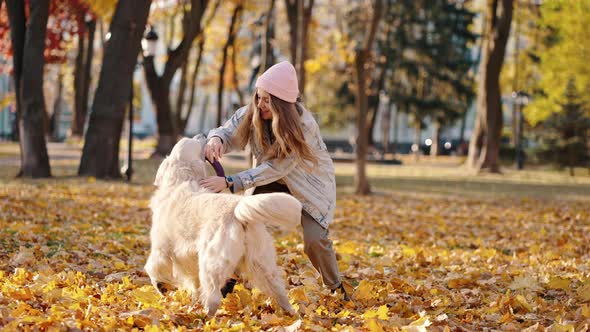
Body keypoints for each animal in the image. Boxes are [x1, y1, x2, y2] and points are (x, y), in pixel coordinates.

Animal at [144, 136, 300, 316]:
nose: (203, 135)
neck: (180, 178)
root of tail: (238, 209)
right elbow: (194, 285)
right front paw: (192, 302)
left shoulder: (161, 248)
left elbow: (153, 268)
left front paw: (161, 287)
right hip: (262, 262)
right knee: (279, 290)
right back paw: (291, 314)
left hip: (210, 262)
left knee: (214, 296)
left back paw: (205, 316)